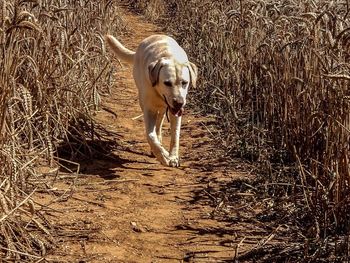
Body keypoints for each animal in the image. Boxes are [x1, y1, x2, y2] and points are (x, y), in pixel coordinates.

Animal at [104, 34, 197, 167]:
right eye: (167, 83)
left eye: (185, 83)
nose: (179, 103)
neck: (169, 56)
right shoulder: (148, 110)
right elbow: (150, 136)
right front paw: (163, 155)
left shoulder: (175, 113)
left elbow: (175, 136)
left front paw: (173, 157)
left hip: (163, 108)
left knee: (159, 122)